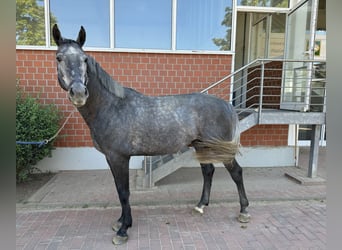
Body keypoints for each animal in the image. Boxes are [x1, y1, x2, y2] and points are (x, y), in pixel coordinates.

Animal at [51, 23, 248, 244]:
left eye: (84, 59)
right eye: (59, 58)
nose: (78, 93)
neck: (112, 107)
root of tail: (226, 104)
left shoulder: (119, 157)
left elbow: (124, 192)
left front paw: (123, 230)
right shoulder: (111, 158)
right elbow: (119, 190)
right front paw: (120, 222)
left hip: (219, 149)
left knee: (236, 172)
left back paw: (244, 211)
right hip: (201, 145)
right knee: (208, 171)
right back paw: (200, 206)